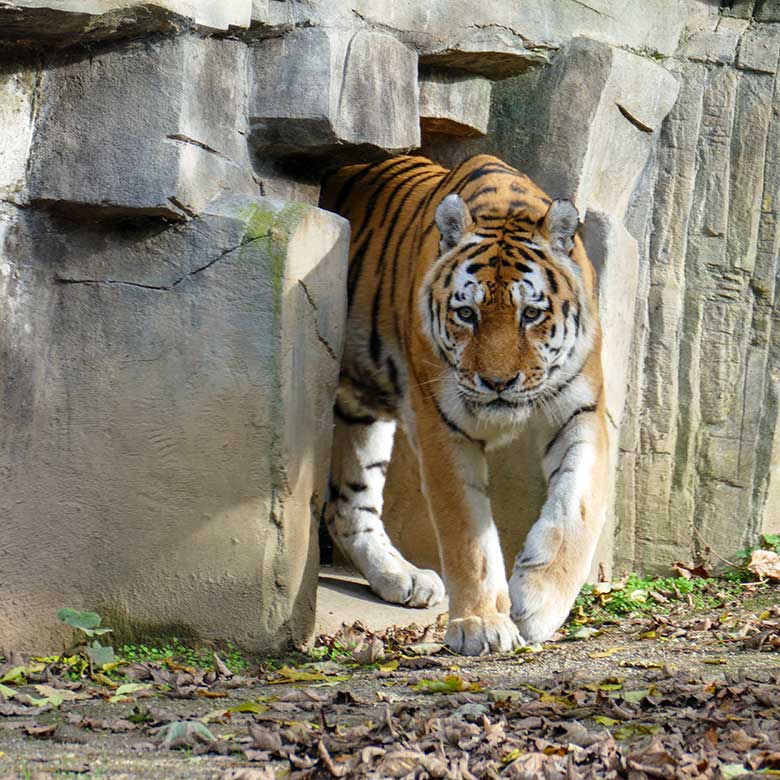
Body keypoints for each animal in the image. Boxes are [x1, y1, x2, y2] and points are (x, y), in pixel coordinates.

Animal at [318, 155, 608, 656]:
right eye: (466, 314)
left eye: (531, 314)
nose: (498, 383)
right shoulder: (442, 425)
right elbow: (467, 533)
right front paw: (481, 623)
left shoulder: (582, 410)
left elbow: (578, 507)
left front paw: (539, 603)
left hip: (363, 410)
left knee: (349, 504)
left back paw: (402, 577)